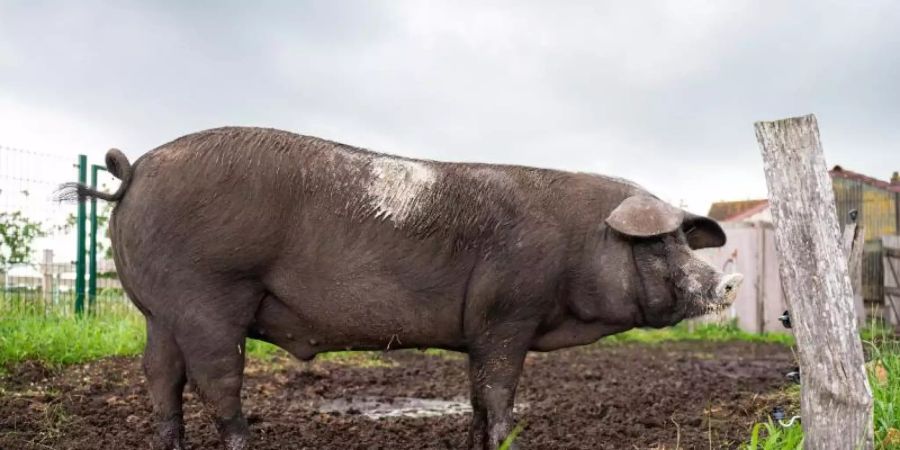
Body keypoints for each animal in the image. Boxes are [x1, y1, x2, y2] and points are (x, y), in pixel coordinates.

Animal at [58, 127, 744, 450]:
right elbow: (501, 394)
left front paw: (475, 441)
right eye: (657, 243)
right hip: (207, 295)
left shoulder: (481, 329)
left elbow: (477, 395)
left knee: (159, 378)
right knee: (215, 381)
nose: (729, 282)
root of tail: (133, 172)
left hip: (158, 309)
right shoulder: (508, 313)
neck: (578, 243)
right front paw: (508, 440)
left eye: (685, 240)